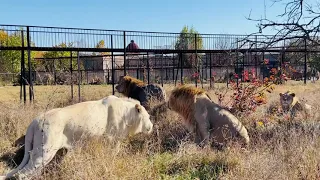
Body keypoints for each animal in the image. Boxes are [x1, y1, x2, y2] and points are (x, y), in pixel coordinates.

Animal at [2, 95, 152, 179]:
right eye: (149, 117)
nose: (151, 126)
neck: (128, 114)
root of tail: (34, 121)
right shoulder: (112, 140)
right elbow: (113, 154)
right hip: (45, 151)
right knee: (22, 174)